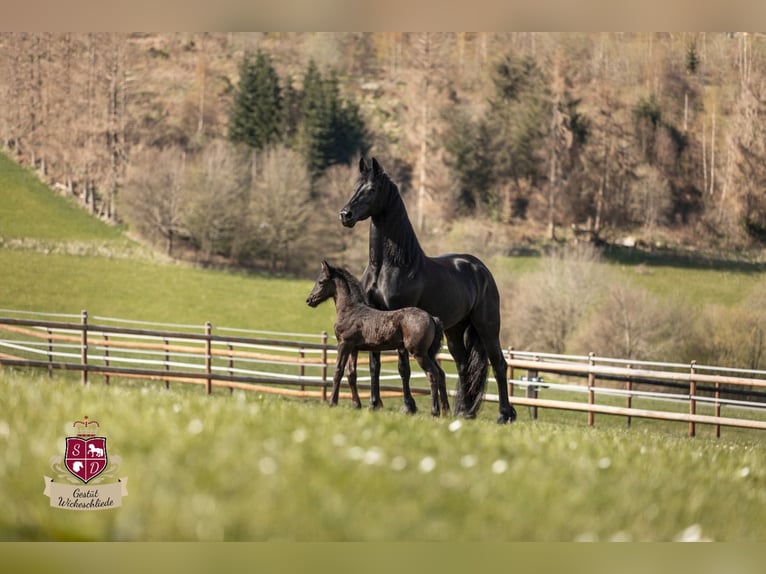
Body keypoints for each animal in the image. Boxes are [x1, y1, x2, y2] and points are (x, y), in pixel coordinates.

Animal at [306, 260, 450, 417]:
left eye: (321, 281)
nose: (309, 300)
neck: (351, 310)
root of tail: (432, 318)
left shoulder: (344, 344)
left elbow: (338, 371)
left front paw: (332, 403)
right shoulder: (354, 348)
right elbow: (351, 374)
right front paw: (356, 405)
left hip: (419, 353)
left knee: (432, 374)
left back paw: (435, 411)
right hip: (429, 353)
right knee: (441, 374)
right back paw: (445, 411)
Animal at [339, 157, 517, 424]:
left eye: (371, 189)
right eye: (355, 187)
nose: (345, 215)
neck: (389, 265)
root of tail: (480, 269)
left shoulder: (399, 318)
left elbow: (403, 367)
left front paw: (408, 407)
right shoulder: (374, 317)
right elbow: (374, 364)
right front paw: (374, 404)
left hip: (487, 326)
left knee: (499, 364)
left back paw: (504, 415)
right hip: (455, 330)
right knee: (464, 366)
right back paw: (464, 411)